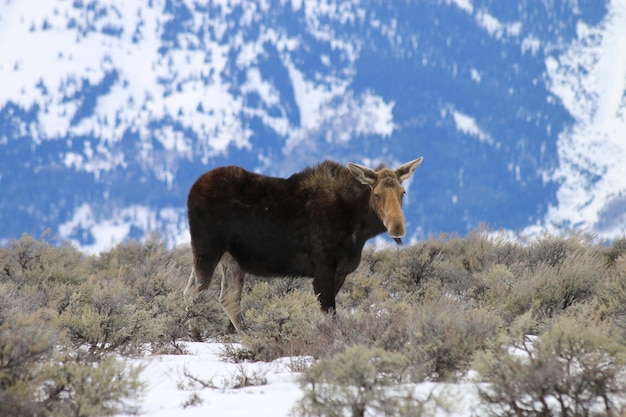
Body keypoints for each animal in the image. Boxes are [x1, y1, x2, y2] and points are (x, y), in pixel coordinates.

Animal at [183, 157, 422, 332]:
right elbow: (329, 317)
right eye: (377, 194)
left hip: (230, 258)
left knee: (225, 297)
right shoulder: (323, 270)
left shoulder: (340, 273)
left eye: (403, 192)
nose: (397, 227)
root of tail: (191, 191)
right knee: (195, 294)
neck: (357, 226)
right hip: (207, 249)